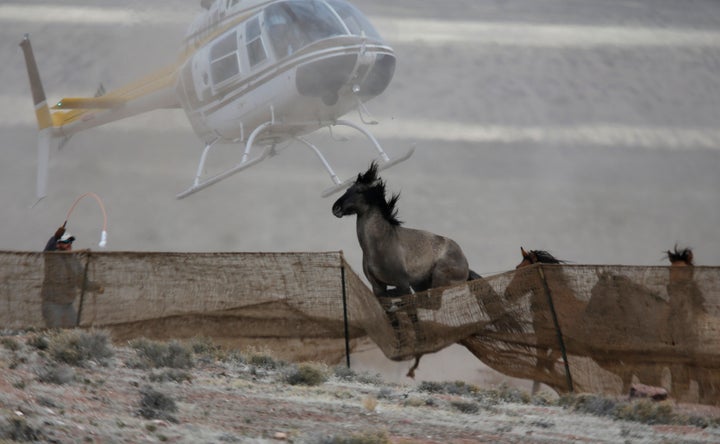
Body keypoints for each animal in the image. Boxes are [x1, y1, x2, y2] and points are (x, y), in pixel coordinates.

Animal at [334, 161, 480, 376]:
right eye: (347, 188)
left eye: (359, 190)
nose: (335, 208)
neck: (380, 244)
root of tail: (465, 264)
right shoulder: (378, 286)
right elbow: (391, 316)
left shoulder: (402, 283)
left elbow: (409, 312)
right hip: (422, 284)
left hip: (438, 280)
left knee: (429, 303)